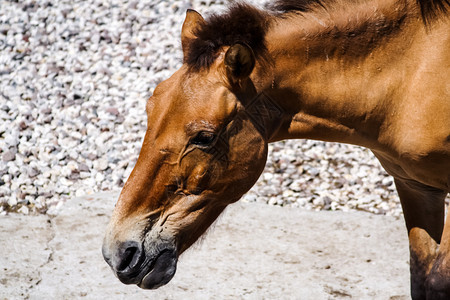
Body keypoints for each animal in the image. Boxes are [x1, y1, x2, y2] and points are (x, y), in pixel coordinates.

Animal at [102, 0, 450, 298]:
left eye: (203, 137)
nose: (119, 253)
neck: (414, 71)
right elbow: (422, 277)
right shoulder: (415, 185)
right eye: (150, 110)